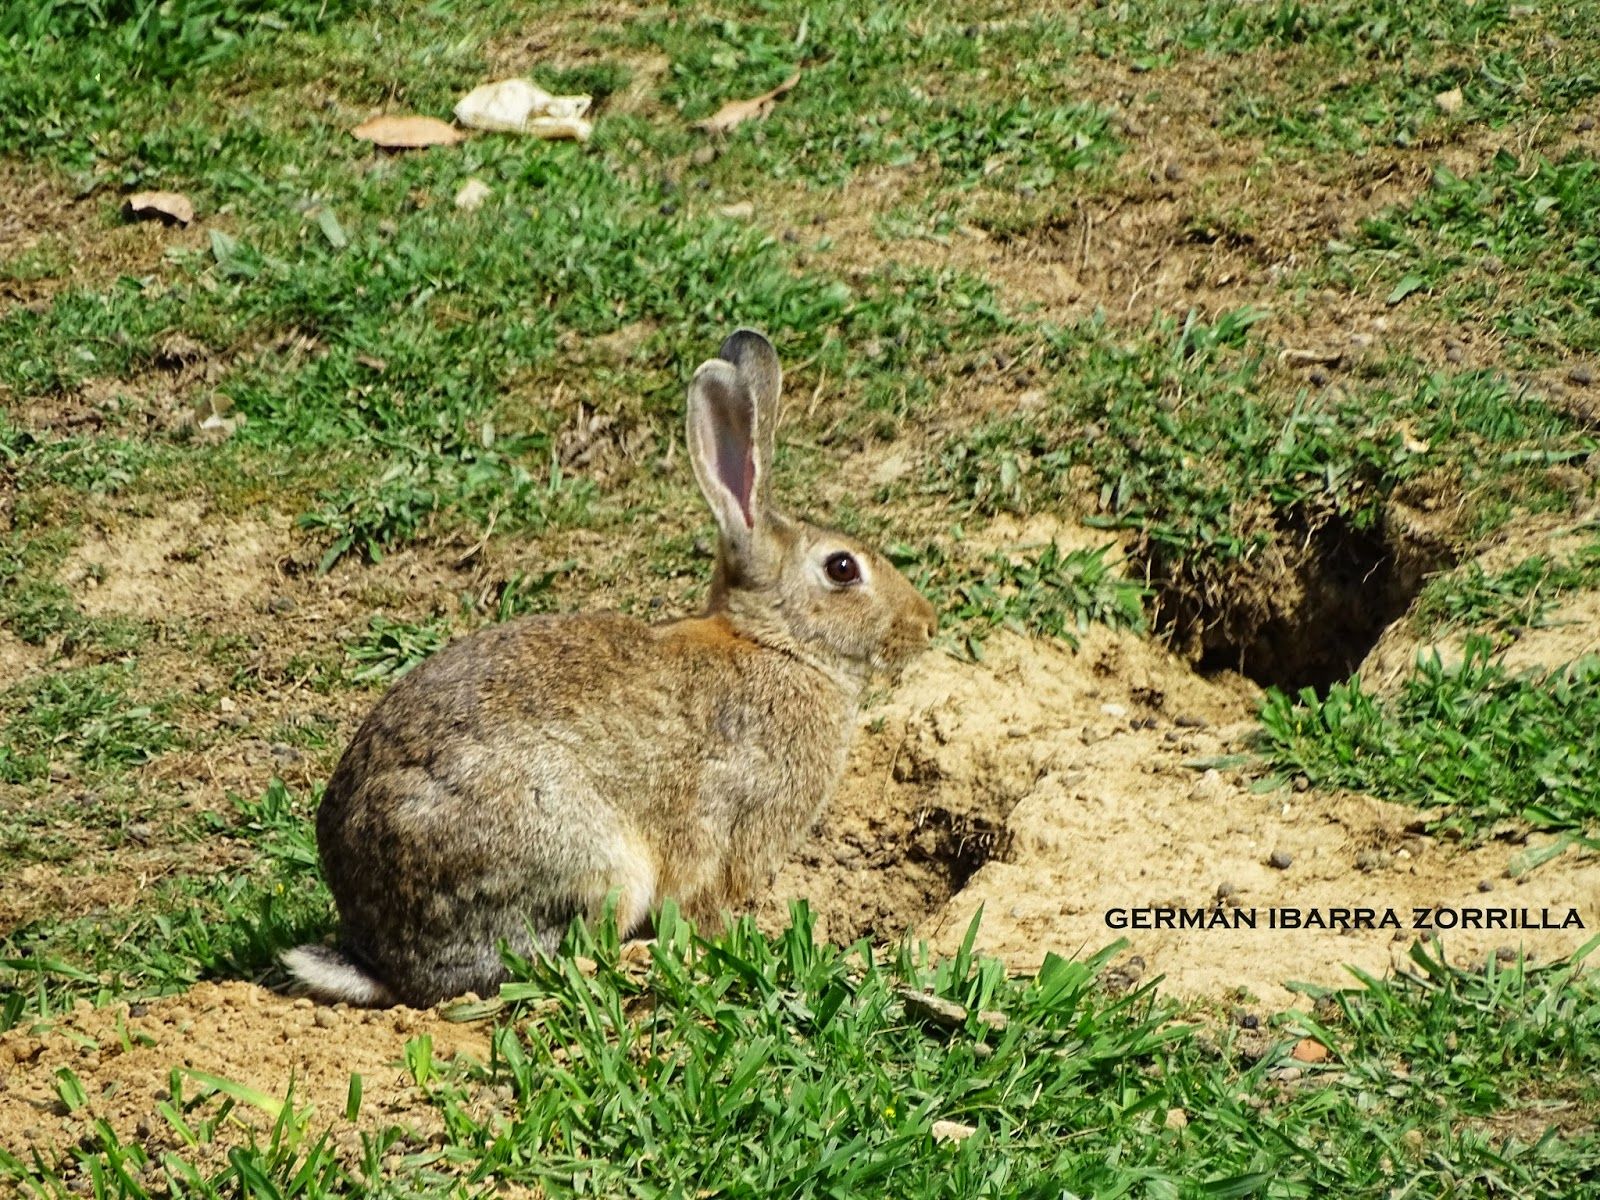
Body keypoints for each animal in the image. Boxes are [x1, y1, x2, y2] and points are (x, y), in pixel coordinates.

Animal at [282, 329, 937, 1007]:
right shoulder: (728, 829)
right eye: (842, 568)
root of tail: (388, 961)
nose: (927, 624)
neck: (777, 645)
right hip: (588, 859)